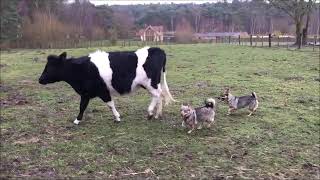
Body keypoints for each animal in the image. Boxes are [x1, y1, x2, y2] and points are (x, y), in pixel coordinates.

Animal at [38, 47, 176, 124]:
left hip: (150, 83)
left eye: (50, 67)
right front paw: (78, 120)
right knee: (160, 95)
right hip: (154, 83)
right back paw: (157, 114)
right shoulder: (86, 93)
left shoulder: (102, 91)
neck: (81, 69)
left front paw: (117, 117)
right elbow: (82, 106)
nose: (40, 79)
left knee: (157, 95)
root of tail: (157, 49)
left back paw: (150, 113)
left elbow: (110, 104)